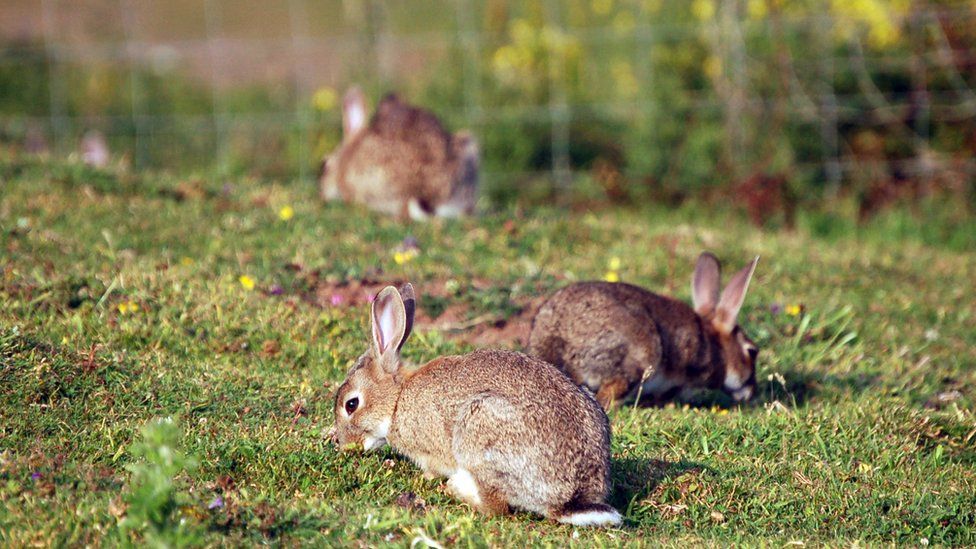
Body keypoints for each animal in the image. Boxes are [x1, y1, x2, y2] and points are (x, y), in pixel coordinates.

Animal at [328, 282, 616, 528]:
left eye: (351, 404)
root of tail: (571, 498)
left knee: (496, 506)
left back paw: (457, 489)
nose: (346, 447)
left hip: (479, 431)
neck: (397, 399)